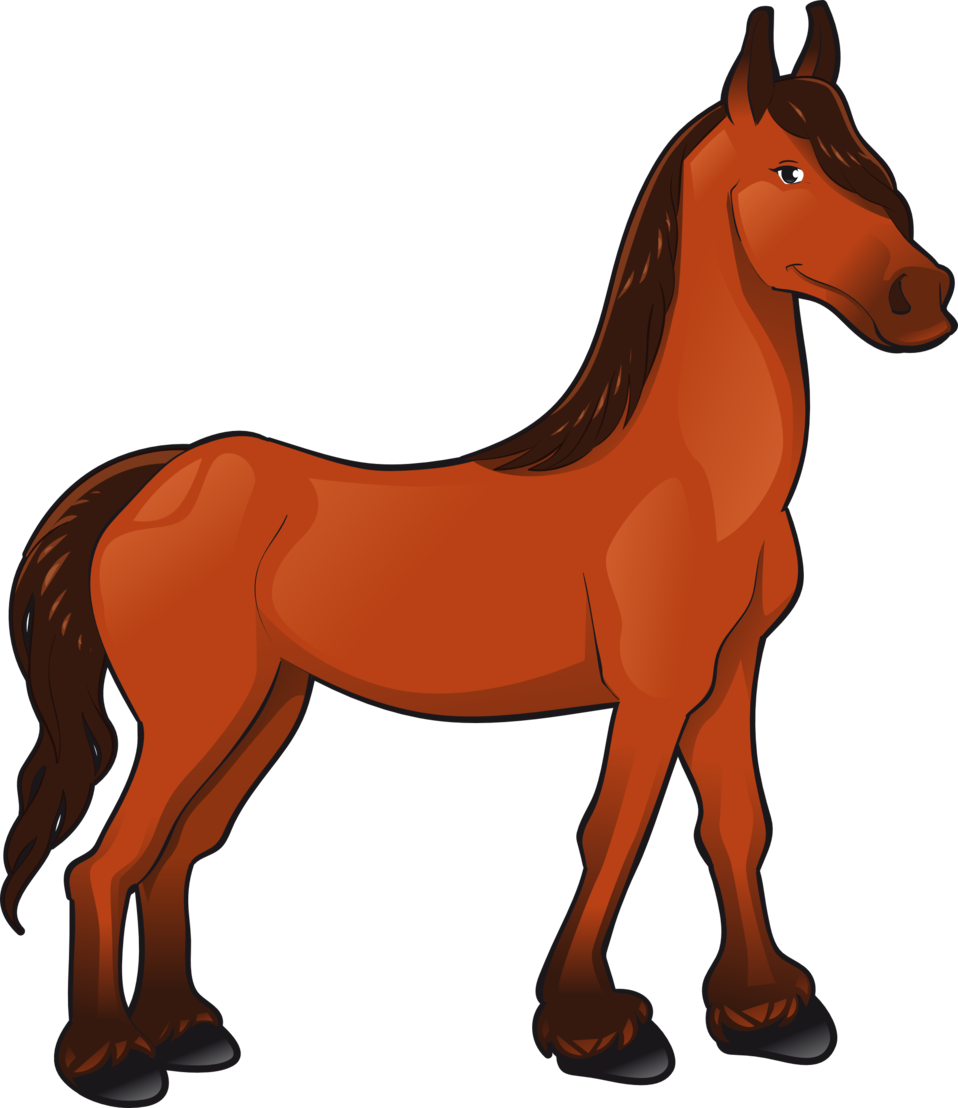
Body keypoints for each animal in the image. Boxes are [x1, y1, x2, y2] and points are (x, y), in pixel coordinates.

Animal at [3, 3, 953, 1098]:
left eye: (866, 154)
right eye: (790, 169)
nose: (922, 295)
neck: (694, 479)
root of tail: (159, 481)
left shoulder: (727, 675)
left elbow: (735, 827)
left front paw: (768, 1012)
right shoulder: (656, 686)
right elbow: (613, 829)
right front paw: (598, 1028)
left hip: (265, 705)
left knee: (175, 853)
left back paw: (185, 1030)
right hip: (196, 711)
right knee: (106, 864)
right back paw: (111, 1060)